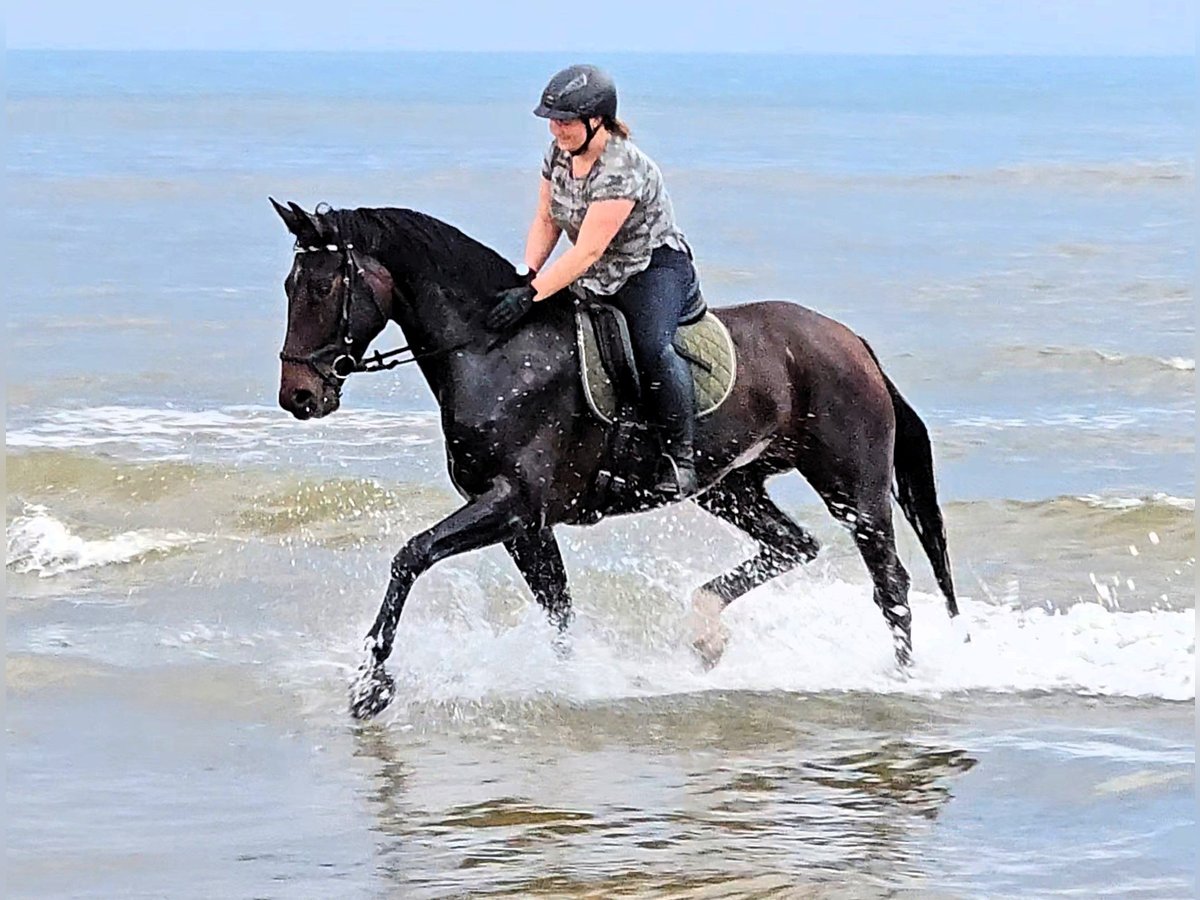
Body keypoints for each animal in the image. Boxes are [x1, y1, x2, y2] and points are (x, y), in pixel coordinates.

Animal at [267, 200, 960, 724]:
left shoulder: (510, 505)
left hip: (852, 487)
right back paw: (706, 632)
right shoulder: (526, 526)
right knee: (793, 545)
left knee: (890, 584)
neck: (495, 349)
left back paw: (901, 679)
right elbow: (558, 608)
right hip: (731, 487)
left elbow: (410, 556)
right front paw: (571, 679)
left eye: (323, 287)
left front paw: (371, 686)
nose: (299, 396)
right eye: (290, 287)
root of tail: (852, 341)